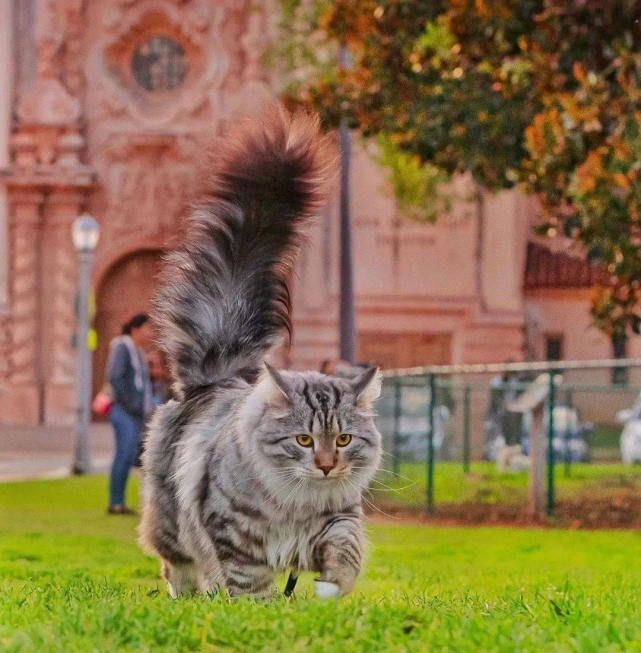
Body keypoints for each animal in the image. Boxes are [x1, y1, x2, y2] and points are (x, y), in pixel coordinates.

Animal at [139, 108, 380, 600]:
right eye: (303, 440)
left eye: (344, 440)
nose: (326, 466)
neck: (296, 503)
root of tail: (219, 373)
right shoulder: (232, 531)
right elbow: (250, 583)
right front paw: (260, 611)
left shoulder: (337, 517)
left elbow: (347, 549)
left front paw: (331, 589)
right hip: (172, 523)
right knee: (177, 564)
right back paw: (188, 597)